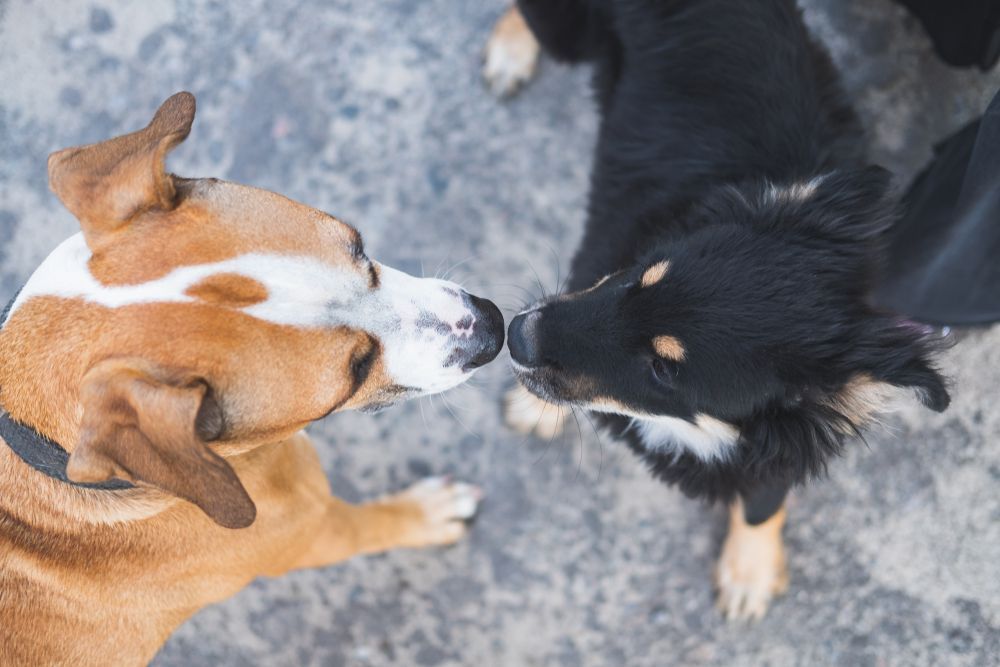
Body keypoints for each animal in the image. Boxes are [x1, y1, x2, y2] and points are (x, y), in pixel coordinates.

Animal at [0, 91, 504, 664]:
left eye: (359, 247)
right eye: (354, 371)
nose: (494, 326)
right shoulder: (317, 530)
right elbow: (374, 524)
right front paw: (427, 513)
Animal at [488, 0, 948, 620]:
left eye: (664, 369)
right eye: (639, 276)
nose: (516, 334)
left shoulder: (776, 442)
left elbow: (761, 500)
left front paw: (748, 570)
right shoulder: (595, 261)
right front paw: (535, 409)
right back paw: (510, 50)